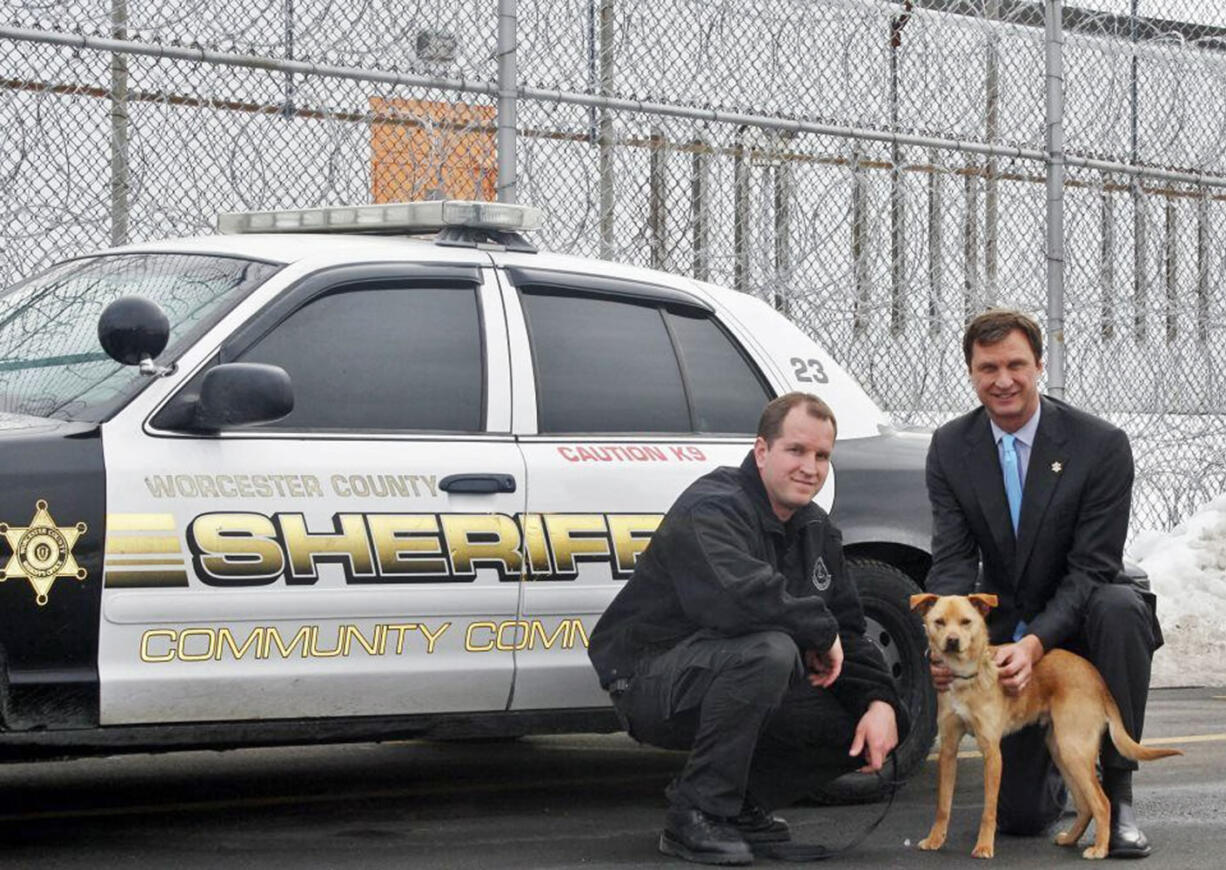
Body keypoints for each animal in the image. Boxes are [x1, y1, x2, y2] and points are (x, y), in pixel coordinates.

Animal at [912, 595, 1176, 862]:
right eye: (939, 622)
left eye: (966, 622)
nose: (952, 641)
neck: (965, 677)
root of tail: (1097, 678)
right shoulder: (948, 750)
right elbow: (943, 805)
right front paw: (935, 839)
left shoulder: (992, 752)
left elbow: (989, 809)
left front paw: (984, 846)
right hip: (1062, 751)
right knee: (1085, 806)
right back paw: (1071, 838)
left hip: (1074, 750)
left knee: (1102, 803)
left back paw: (1100, 848)